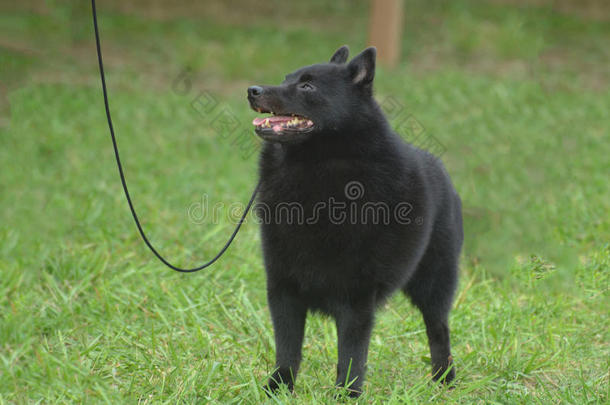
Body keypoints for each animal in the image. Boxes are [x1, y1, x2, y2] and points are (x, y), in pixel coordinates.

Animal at [245, 45, 458, 396]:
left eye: (307, 86)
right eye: (286, 78)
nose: (252, 90)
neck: (314, 170)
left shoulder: (356, 297)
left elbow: (351, 353)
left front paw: (347, 394)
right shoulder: (283, 288)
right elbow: (287, 349)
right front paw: (278, 388)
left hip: (434, 282)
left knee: (438, 330)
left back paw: (445, 380)